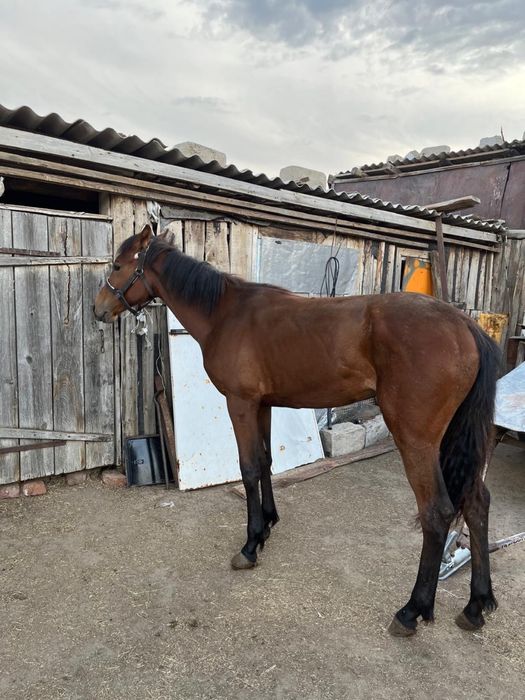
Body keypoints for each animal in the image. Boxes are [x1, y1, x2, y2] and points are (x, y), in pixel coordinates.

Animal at [94, 224, 500, 636]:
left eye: (118, 266)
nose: (99, 309)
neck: (227, 313)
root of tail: (465, 326)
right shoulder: (263, 404)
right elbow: (266, 461)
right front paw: (268, 525)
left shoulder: (240, 403)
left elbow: (249, 468)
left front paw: (250, 545)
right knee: (476, 502)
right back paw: (476, 605)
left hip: (416, 439)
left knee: (436, 512)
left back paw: (412, 610)